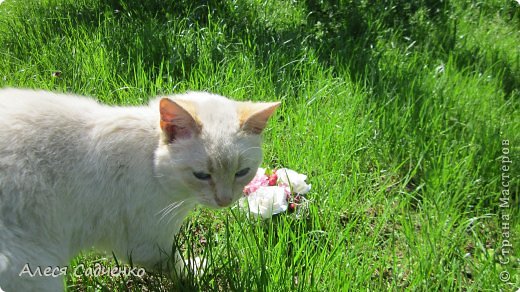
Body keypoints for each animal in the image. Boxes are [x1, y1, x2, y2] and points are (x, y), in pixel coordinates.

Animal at [0, 88, 280, 290]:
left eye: (241, 172)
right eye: (201, 175)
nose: (224, 200)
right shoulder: (147, 243)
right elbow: (178, 265)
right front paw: (199, 270)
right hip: (35, 269)